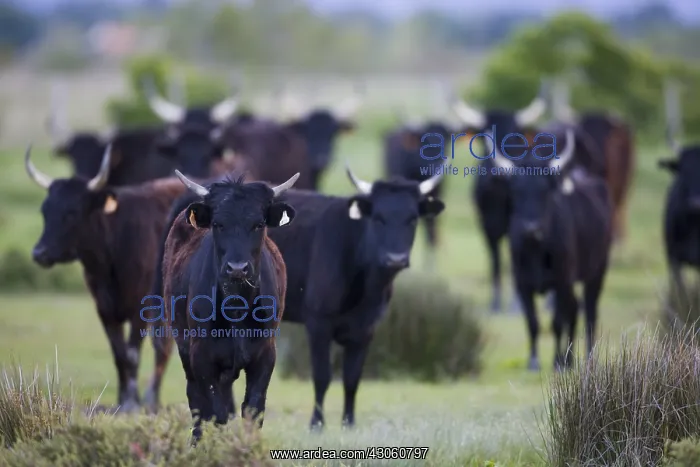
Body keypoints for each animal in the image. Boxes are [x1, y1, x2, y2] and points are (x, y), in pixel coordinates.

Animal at [26, 145, 188, 412]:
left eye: (72, 212)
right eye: (44, 211)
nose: (40, 253)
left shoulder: (141, 308)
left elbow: (131, 354)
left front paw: (132, 402)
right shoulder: (104, 309)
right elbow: (118, 354)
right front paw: (123, 399)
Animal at [159, 170, 299, 441]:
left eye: (258, 224)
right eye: (218, 224)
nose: (237, 268)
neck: (236, 308)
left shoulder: (265, 355)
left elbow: (253, 411)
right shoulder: (201, 356)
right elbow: (215, 413)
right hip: (186, 350)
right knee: (196, 402)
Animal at [449, 93, 548, 313]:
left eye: (515, 137)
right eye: (484, 136)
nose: (499, 171)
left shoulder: (516, 228)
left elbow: (512, 263)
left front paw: (515, 305)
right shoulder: (487, 227)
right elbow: (495, 262)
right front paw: (494, 304)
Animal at [490, 128, 612, 371]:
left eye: (544, 191)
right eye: (516, 191)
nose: (531, 227)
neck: (536, 250)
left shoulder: (561, 281)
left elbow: (556, 322)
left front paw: (556, 361)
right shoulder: (522, 283)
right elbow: (533, 322)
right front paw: (534, 361)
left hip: (597, 271)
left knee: (590, 313)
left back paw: (587, 358)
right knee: (575, 309)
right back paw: (570, 359)